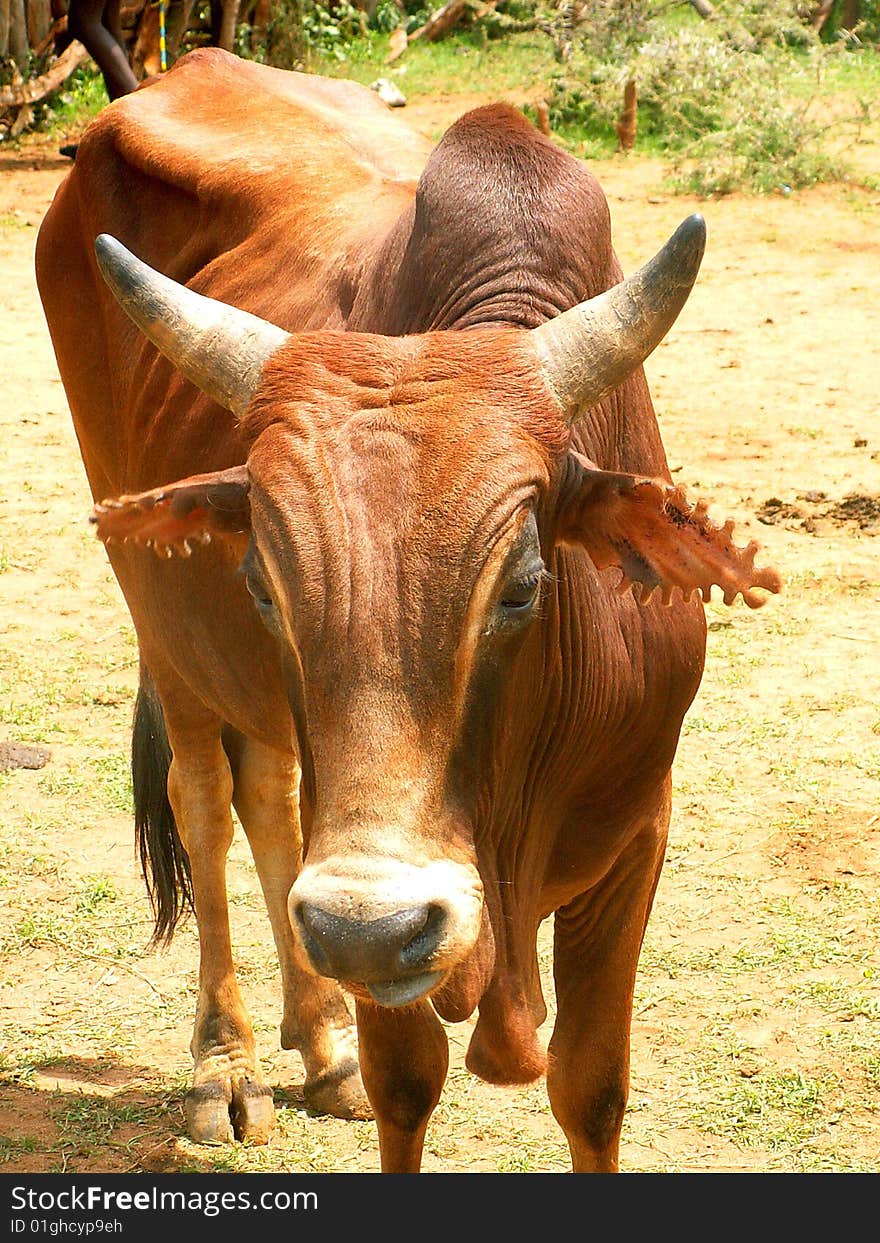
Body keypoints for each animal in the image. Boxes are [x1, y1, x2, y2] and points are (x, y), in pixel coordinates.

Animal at [34, 50, 780, 1173]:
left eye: (522, 585)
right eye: (263, 583)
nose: (366, 929)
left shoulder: (635, 835)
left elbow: (591, 1089)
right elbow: (408, 1085)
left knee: (269, 795)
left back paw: (319, 1046)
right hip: (164, 628)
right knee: (204, 797)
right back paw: (228, 1066)